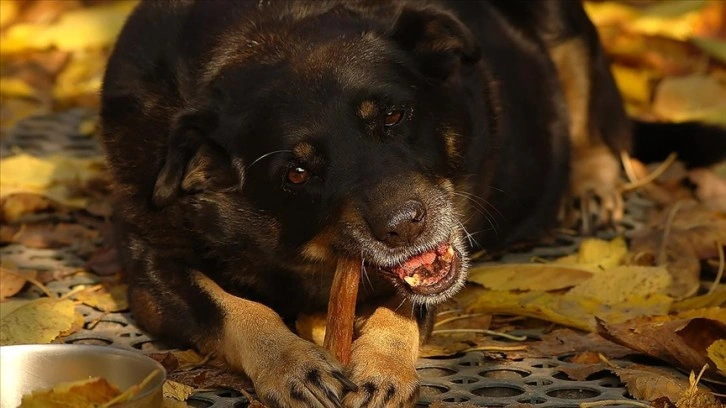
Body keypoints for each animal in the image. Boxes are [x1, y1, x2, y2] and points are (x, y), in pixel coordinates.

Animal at [101, 0, 636, 408]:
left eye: (395, 116)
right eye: (297, 174)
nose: (406, 225)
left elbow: (401, 305)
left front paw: (381, 366)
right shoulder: (150, 269)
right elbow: (231, 308)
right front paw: (291, 363)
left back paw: (590, 186)